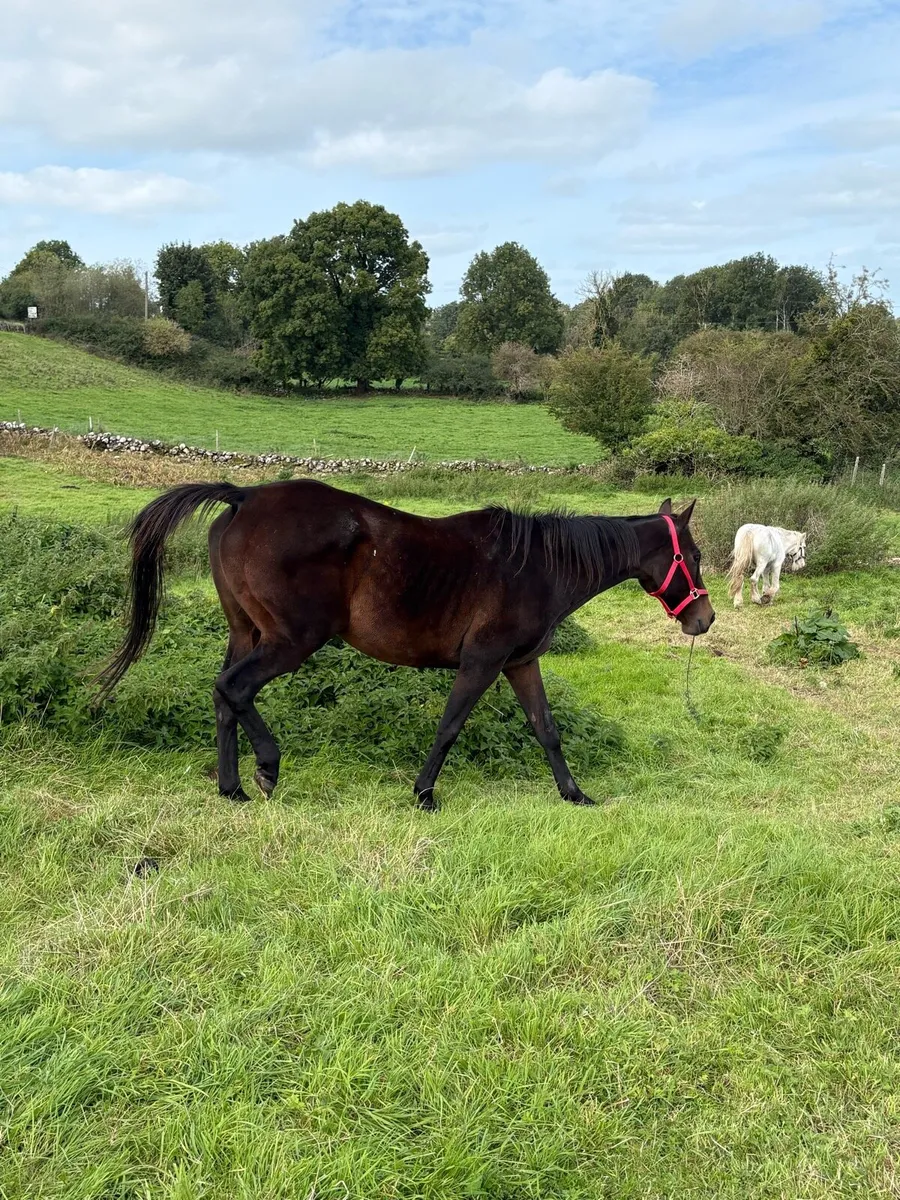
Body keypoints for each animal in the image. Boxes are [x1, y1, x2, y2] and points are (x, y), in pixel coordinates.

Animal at [97, 481, 714, 808]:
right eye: (695, 556)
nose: (704, 619)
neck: (538, 564)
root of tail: (243, 497)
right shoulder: (482, 661)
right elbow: (449, 727)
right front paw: (424, 793)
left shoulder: (520, 664)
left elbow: (547, 731)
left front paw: (573, 793)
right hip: (291, 641)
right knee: (234, 688)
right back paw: (267, 767)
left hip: (246, 632)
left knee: (224, 698)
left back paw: (232, 788)